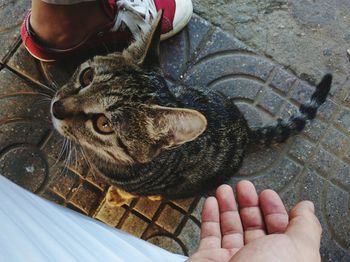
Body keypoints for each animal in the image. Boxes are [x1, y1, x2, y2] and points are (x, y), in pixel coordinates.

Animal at [50, 12, 332, 205]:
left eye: (104, 124)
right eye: (86, 76)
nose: (56, 108)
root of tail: (245, 130)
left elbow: (131, 192)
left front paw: (118, 196)